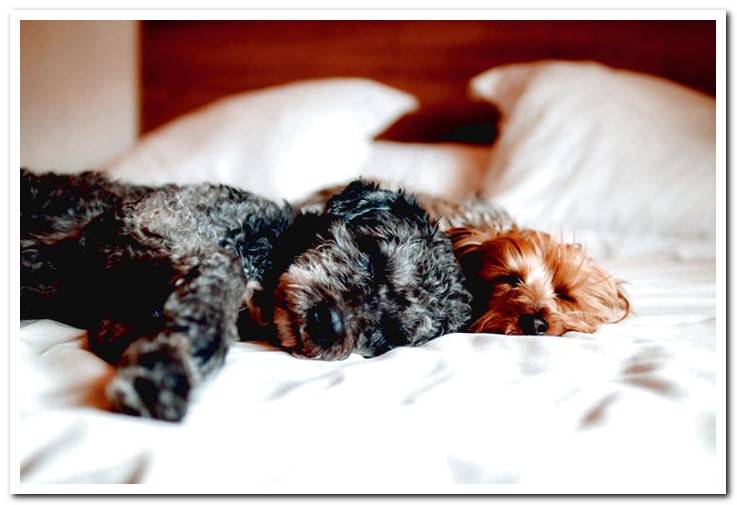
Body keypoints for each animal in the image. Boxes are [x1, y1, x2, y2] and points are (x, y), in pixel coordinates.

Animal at [21, 167, 472, 420]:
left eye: (388, 333)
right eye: (373, 255)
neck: (269, 245)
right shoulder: (143, 219)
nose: (328, 325)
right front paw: (168, 368)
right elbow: (226, 268)